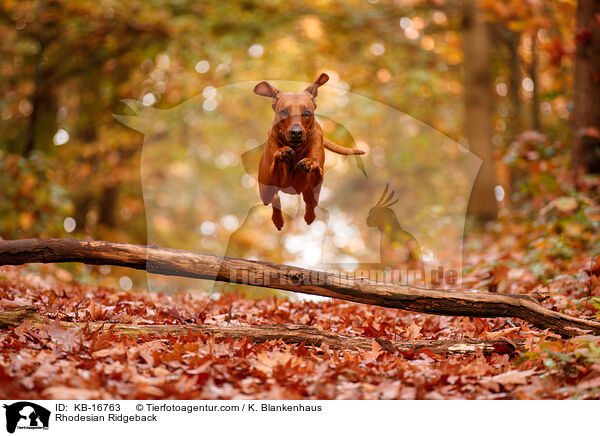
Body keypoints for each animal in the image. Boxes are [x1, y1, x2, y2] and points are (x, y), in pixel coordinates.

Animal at [254, 73, 366, 230]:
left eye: (306, 113)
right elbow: (278, 167)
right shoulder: (277, 179)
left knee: (309, 203)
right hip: (265, 191)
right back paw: (278, 220)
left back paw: (309, 216)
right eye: (284, 112)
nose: (296, 132)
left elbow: (316, 173)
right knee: (273, 198)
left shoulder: (315, 181)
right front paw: (283, 152)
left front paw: (310, 162)